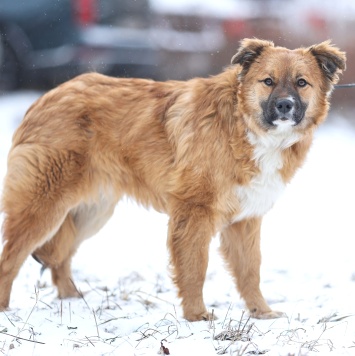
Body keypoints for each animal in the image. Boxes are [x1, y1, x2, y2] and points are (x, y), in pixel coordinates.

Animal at [0, 38, 346, 320]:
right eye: (268, 81)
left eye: (302, 83)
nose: (285, 105)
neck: (244, 124)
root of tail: (48, 96)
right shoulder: (194, 212)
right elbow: (195, 267)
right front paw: (197, 316)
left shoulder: (245, 220)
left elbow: (250, 270)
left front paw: (261, 312)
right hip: (44, 206)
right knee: (10, 258)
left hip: (90, 213)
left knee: (61, 257)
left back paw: (73, 299)